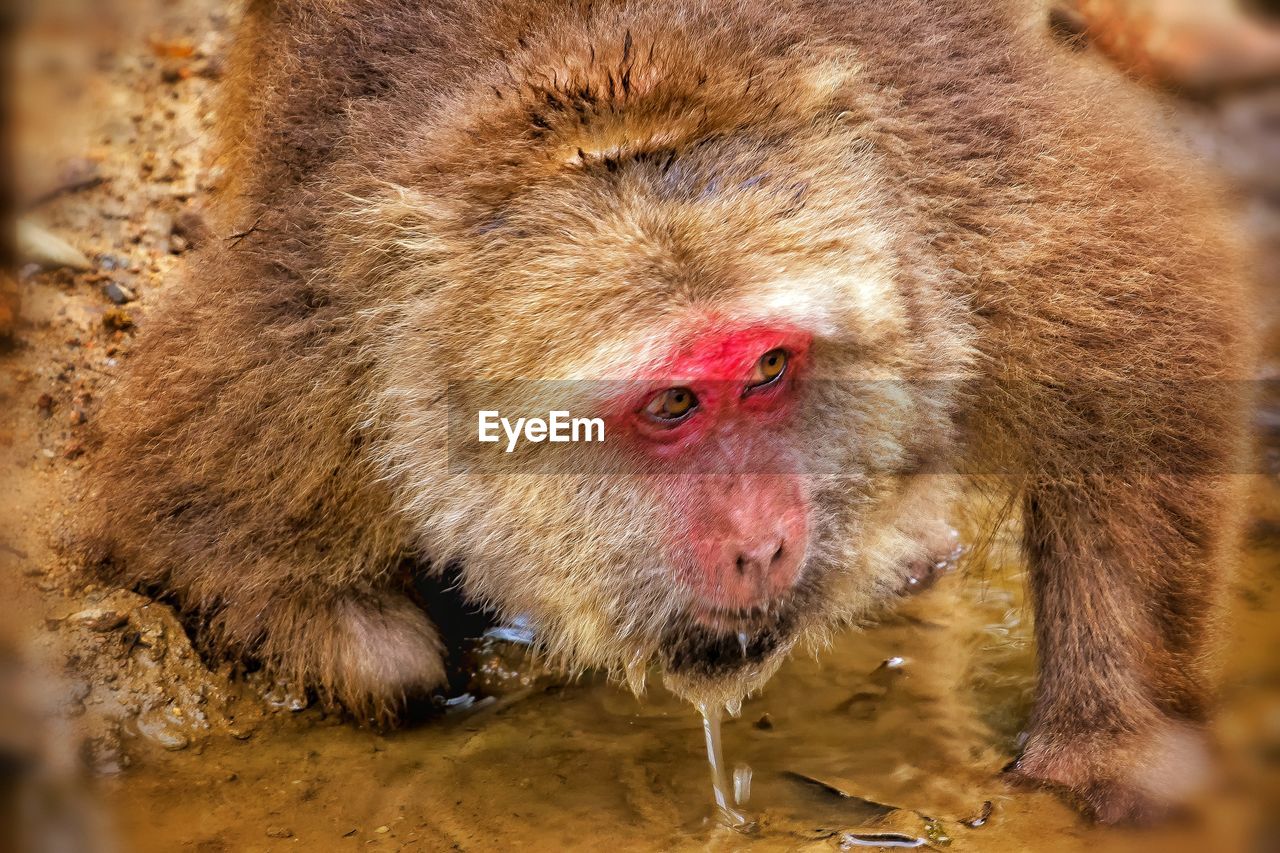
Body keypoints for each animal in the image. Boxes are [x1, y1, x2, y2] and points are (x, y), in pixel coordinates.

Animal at [77, 0, 1249, 824]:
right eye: (673, 402)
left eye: (768, 368)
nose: (762, 540)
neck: (616, 89)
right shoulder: (320, 353)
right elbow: (185, 529)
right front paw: (396, 642)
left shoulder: (957, 211)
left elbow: (1145, 351)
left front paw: (1116, 740)